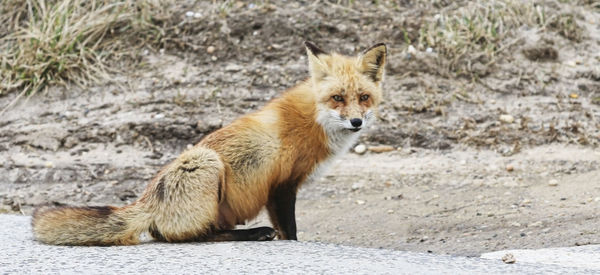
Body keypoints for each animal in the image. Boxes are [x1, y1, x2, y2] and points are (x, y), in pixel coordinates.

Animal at [32, 41, 386, 246]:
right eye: (337, 98)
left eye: (363, 98)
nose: (356, 122)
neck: (315, 118)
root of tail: (146, 200)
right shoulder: (282, 185)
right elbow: (291, 231)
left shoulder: (280, 189)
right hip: (206, 163)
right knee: (192, 236)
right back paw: (253, 234)